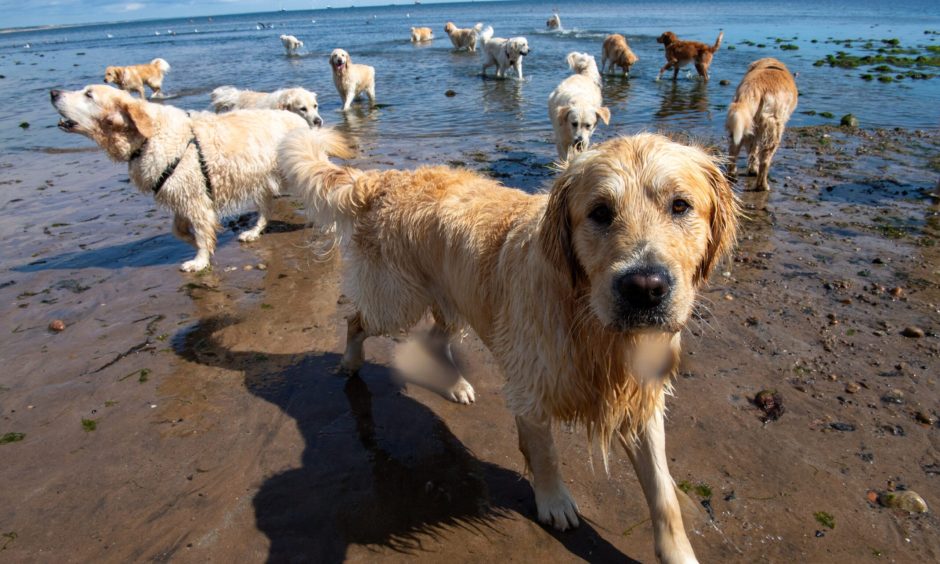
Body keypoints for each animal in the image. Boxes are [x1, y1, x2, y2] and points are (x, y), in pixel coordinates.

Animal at [50, 85, 308, 274]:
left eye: (88, 94)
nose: (53, 93)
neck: (149, 136)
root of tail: (296, 117)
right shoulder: (179, 193)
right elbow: (178, 231)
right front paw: (197, 244)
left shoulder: (195, 198)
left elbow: (202, 231)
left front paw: (199, 260)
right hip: (261, 180)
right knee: (266, 208)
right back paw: (254, 231)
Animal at [280, 129, 740, 564]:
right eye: (600, 212)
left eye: (680, 206)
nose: (645, 288)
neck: (591, 325)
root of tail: (385, 178)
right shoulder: (531, 387)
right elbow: (546, 454)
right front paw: (555, 502)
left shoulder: (639, 396)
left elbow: (662, 492)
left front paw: (679, 552)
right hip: (397, 302)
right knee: (357, 320)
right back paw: (350, 361)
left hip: (456, 297)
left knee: (434, 337)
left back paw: (454, 385)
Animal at [724, 57, 796, 192]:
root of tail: (754, 88)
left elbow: (753, 151)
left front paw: (752, 169)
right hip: (774, 128)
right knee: (765, 160)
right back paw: (762, 186)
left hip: (743, 122)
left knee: (734, 150)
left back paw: (732, 175)